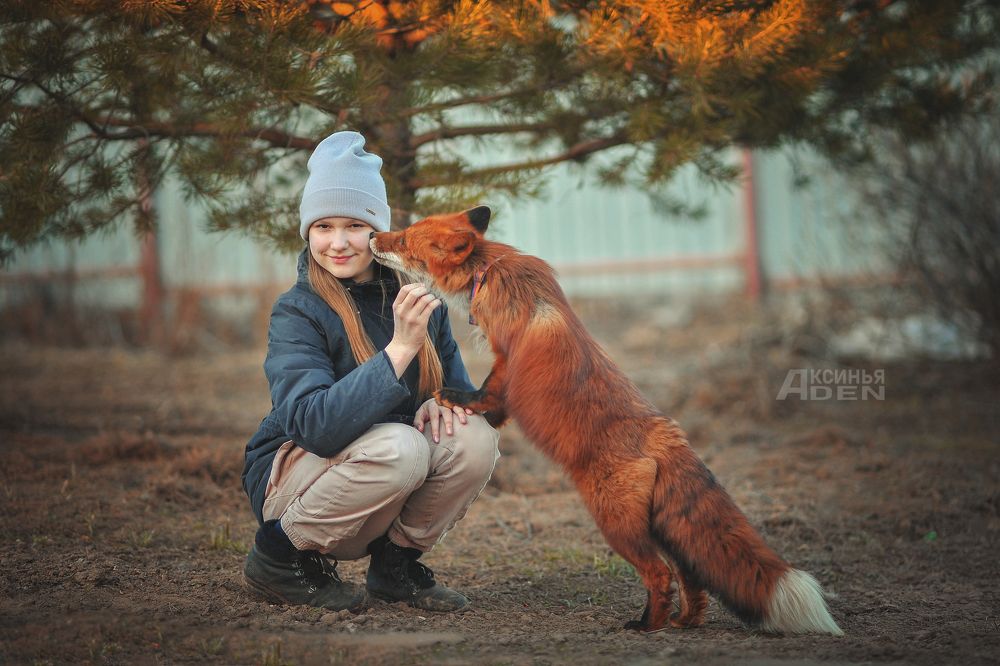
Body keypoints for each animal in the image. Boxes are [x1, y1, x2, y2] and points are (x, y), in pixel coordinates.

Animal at [369, 206, 843, 635]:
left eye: (405, 240)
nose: (373, 235)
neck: (493, 269)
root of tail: (666, 435)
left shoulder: (507, 358)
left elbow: (488, 393)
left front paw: (459, 399)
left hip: (616, 525)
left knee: (660, 575)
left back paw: (647, 626)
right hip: (663, 530)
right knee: (692, 577)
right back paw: (684, 622)